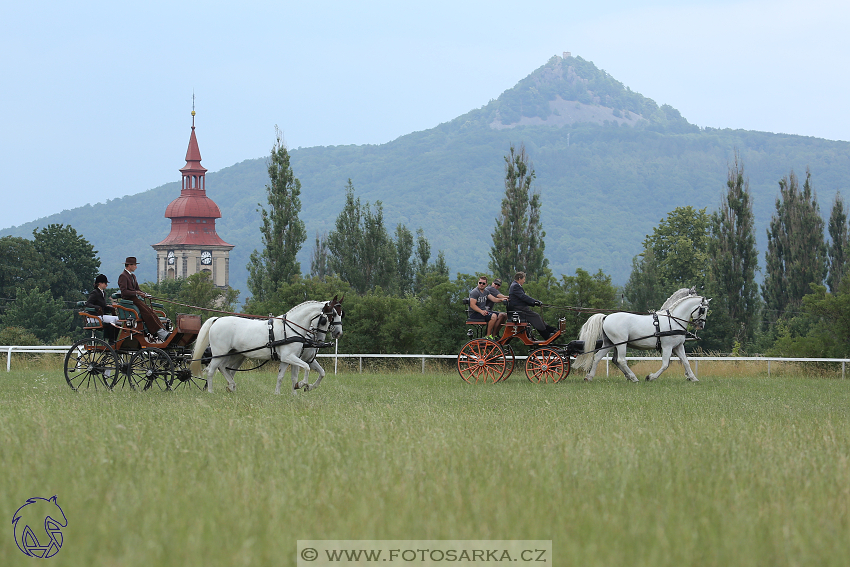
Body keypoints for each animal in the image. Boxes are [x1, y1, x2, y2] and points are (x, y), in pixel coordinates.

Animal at [190, 298, 342, 394]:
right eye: (327, 318)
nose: (338, 333)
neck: (292, 327)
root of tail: (217, 320)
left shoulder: (288, 358)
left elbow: (284, 376)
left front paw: (286, 393)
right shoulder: (290, 357)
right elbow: (306, 368)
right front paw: (302, 385)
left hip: (234, 354)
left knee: (223, 368)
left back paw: (231, 386)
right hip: (219, 353)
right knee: (211, 371)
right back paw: (211, 391)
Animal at [568, 288, 708, 386]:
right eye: (703, 310)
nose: (701, 325)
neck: (673, 320)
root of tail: (606, 317)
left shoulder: (678, 346)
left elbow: (686, 362)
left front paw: (693, 378)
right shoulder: (667, 347)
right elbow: (665, 364)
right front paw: (650, 377)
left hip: (609, 343)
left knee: (598, 357)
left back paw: (590, 377)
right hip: (621, 343)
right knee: (621, 360)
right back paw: (634, 378)